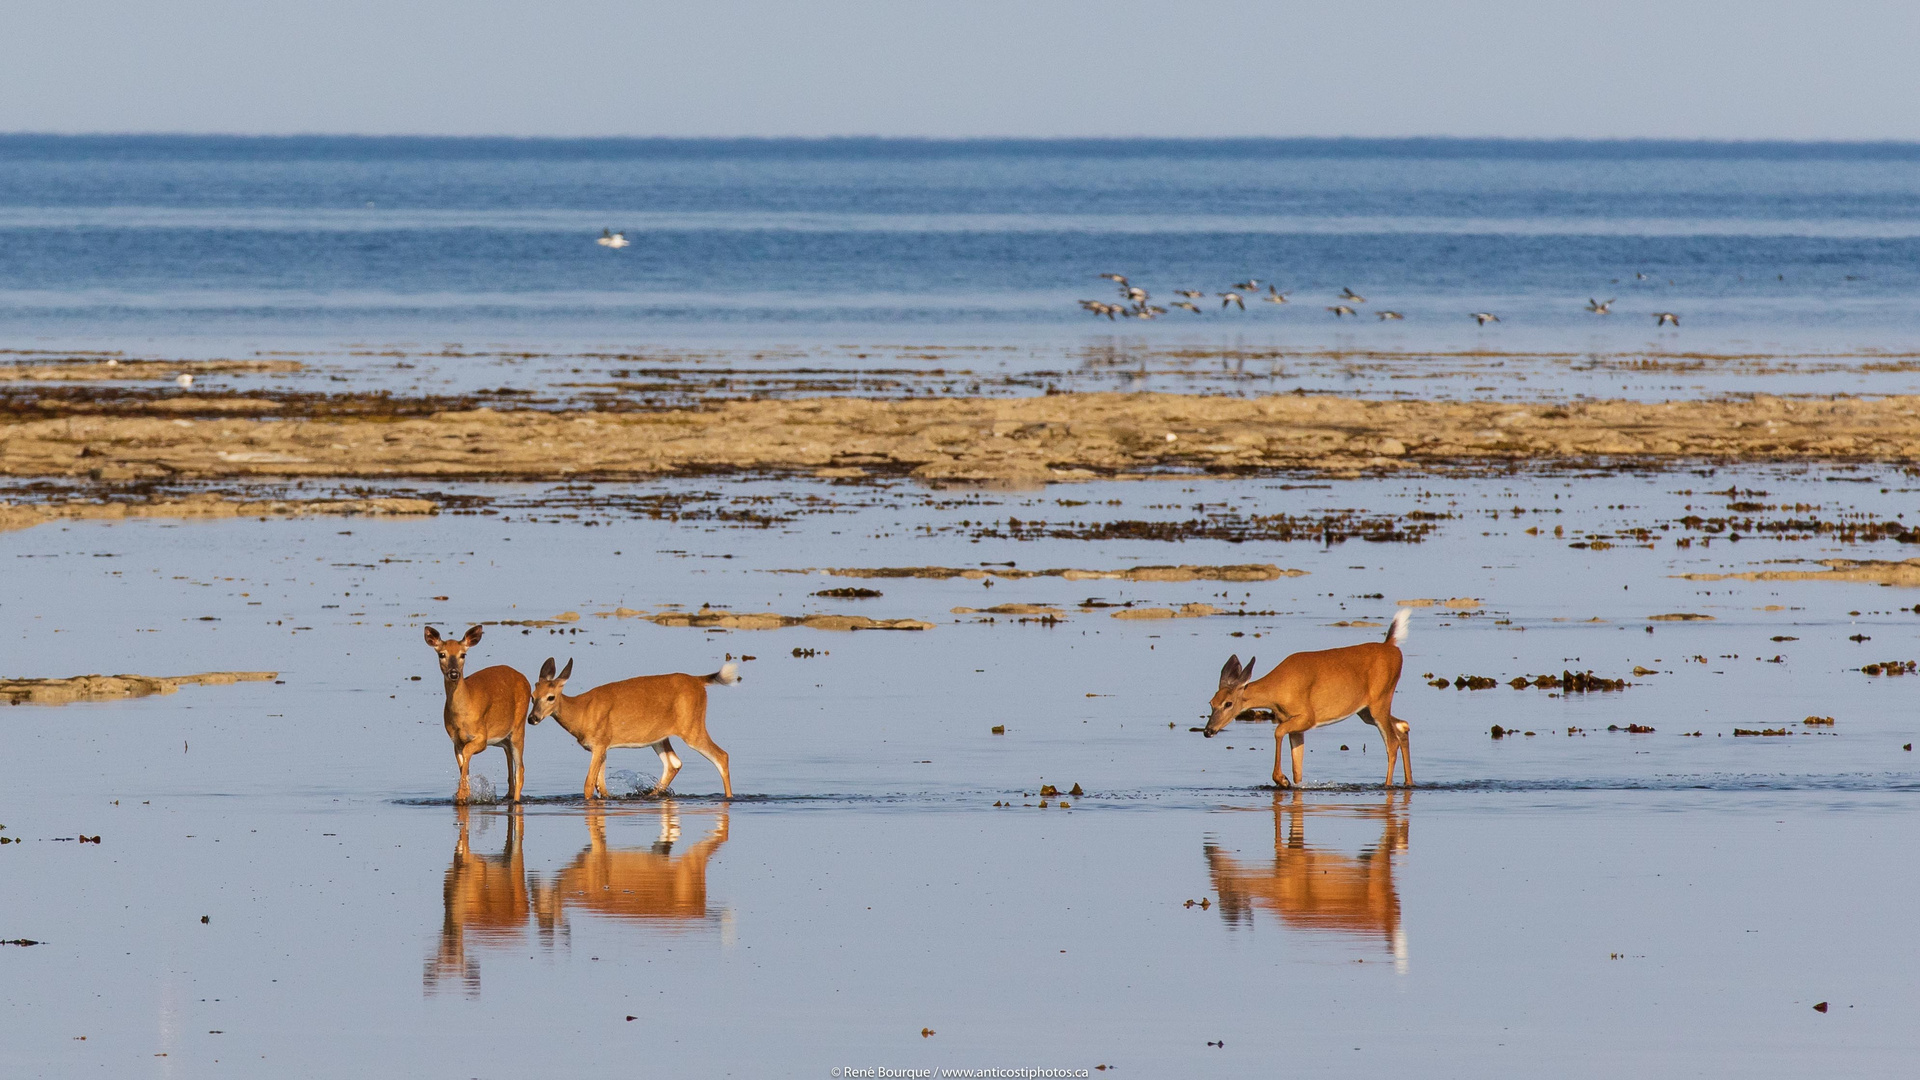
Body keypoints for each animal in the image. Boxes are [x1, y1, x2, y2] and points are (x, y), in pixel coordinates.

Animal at [424, 622, 533, 799]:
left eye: (463, 654)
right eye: (442, 654)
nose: (453, 673)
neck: (462, 715)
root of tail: (525, 679)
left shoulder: (482, 736)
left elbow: (468, 753)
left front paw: (462, 792)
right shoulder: (456, 741)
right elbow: (463, 763)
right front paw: (464, 792)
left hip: (519, 725)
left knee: (520, 770)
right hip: (504, 739)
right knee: (510, 765)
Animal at [529, 653, 737, 795]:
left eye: (550, 697)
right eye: (532, 696)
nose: (532, 718)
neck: (581, 712)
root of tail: (698, 681)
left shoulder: (600, 743)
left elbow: (588, 784)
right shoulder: (601, 748)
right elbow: (600, 786)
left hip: (692, 727)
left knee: (722, 756)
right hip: (660, 736)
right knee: (674, 763)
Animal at [1205, 611, 1420, 787]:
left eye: (1228, 703)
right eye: (1211, 703)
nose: (1208, 731)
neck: (1278, 690)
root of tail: (1392, 647)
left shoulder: (1307, 717)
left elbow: (1278, 732)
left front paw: (1281, 779)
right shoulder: (1293, 724)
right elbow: (1297, 768)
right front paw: (1289, 781)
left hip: (1380, 700)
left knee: (1391, 742)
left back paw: (1387, 785)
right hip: (1366, 711)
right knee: (1402, 726)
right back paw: (1408, 782)